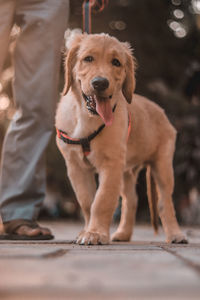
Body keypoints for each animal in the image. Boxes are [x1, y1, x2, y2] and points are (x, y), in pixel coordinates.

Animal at [55, 32, 188, 245]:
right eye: (88, 59)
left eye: (116, 62)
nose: (100, 83)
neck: (86, 116)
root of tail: (160, 110)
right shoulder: (76, 167)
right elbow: (87, 202)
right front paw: (88, 231)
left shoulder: (111, 164)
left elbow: (102, 200)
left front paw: (95, 233)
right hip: (127, 171)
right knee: (131, 200)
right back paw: (123, 234)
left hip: (163, 165)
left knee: (164, 202)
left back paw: (176, 234)